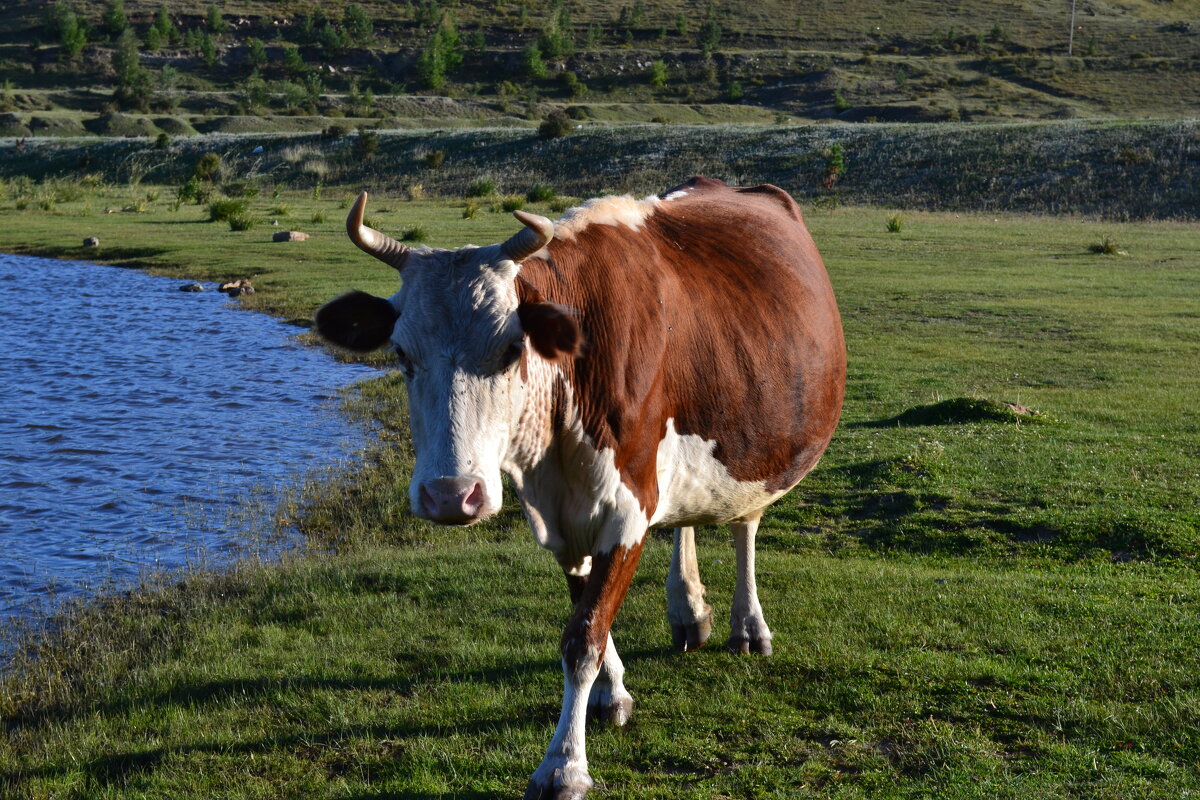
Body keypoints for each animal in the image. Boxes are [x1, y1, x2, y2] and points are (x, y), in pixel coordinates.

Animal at [314, 178, 849, 796]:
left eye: (511, 349)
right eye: (401, 354)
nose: (451, 495)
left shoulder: (627, 507)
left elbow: (584, 635)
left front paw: (564, 764)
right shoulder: (561, 515)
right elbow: (584, 611)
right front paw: (611, 693)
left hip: (759, 442)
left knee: (746, 523)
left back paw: (748, 626)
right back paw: (689, 611)